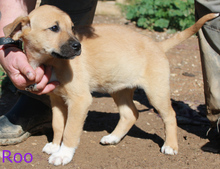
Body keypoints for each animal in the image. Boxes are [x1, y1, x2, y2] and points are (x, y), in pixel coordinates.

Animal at [3, 4, 218, 165]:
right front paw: (55, 146)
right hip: (120, 89)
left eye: (72, 28)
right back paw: (113, 137)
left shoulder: (80, 100)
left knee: (170, 115)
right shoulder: (56, 99)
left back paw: (171, 146)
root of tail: (157, 45)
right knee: (131, 113)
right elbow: (57, 125)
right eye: (54, 28)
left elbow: (70, 130)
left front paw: (63, 154)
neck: (51, 61)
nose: (78, 47)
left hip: (156, 91)